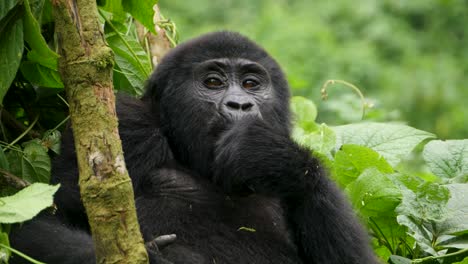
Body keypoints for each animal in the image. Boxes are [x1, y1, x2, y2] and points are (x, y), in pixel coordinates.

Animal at [9, 32, 378, 262]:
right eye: (213, 82)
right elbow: (39, 223)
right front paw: (157, 260)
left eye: (251, 84)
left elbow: (354, 260)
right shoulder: (124, 123)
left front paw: (272, 157)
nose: (240, 105)